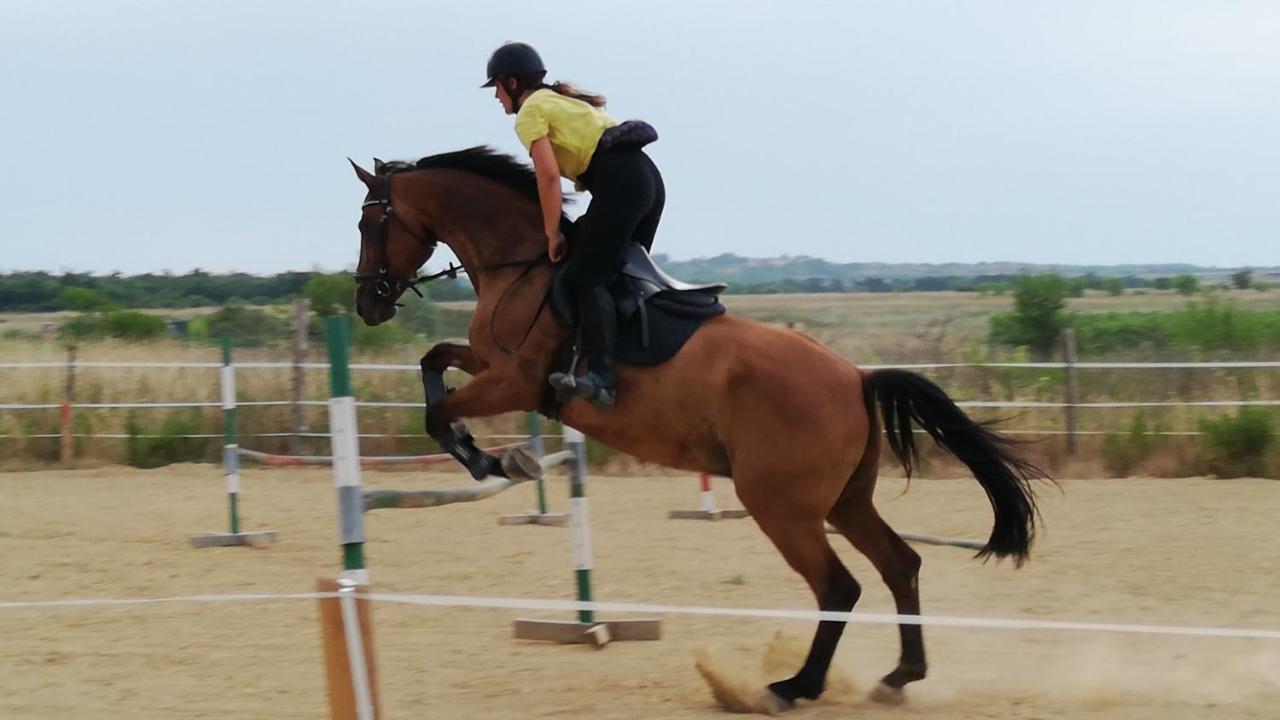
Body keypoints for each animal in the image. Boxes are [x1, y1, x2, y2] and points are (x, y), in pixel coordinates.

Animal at [345, 148, 1044, 707]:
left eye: (368, 222)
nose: (367, 302)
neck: (521, 265)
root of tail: (857, 376)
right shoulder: (490, 364)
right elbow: (433, 362)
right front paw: (489, 456)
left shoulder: (515, 380)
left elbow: (439, 410)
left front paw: (491, 460)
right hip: (844, 500)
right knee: (900, 564)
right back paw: (897, 678)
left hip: (780, 504)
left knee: (838, 585)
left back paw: (793, 687)